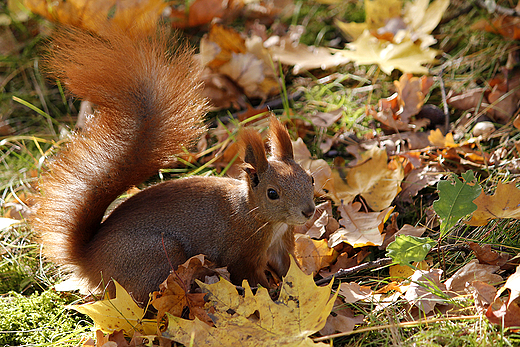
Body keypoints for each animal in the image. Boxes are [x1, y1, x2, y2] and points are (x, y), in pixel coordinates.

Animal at [34, 26, 316, 304]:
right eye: (272, 193)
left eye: (310, 178)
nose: (309, 211)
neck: (254, 213)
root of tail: (90, 261)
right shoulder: (242, 254)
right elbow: (252, 280)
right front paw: (273, 298)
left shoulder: (281, 245)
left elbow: (289, 268)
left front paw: (303, 282)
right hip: (159, 256)